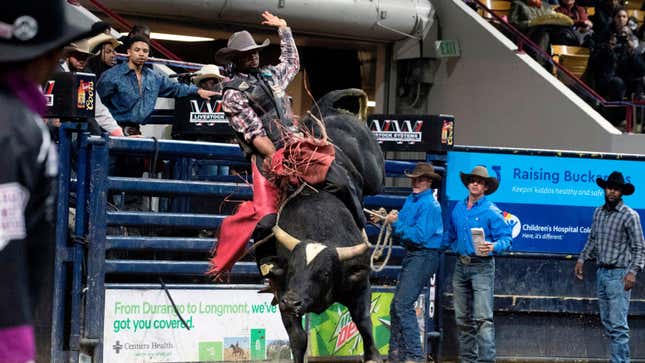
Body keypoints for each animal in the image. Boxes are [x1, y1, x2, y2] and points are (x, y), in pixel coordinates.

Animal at [260, 89, 382, 363]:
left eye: (324, 273)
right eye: (292, 268)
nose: (293, 302)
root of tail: (325, 112)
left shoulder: (359, 285)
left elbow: (365, 324)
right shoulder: (282, 289)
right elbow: (298, 339)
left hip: (375, 172)